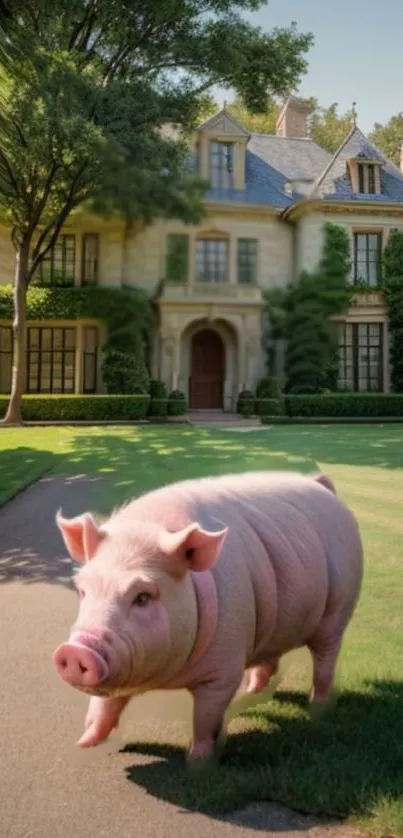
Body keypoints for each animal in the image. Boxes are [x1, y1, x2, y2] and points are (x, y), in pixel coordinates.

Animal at [52, 472, 364, 760]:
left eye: (142, 597)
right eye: (82, 589)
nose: (75, 651)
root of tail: (322, 485)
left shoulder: (224, 667)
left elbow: (205, 718)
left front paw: (197, 760)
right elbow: (103, 704)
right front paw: (84, 743)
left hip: (339, 610)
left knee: (325, 659)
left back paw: (317, 706)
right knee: (268, 660)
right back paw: (250, 694)